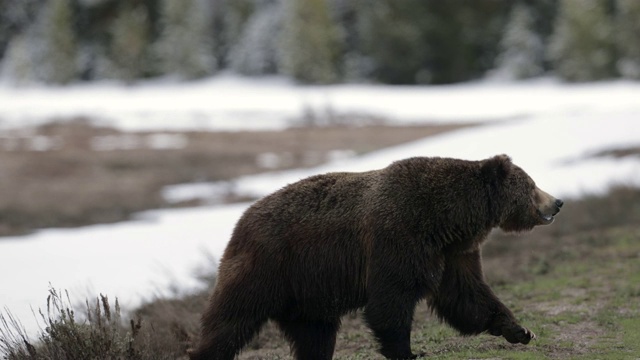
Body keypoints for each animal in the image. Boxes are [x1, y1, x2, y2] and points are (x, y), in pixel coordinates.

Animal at [188, 155, 564, 360]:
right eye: (532, 185)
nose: (558, 202)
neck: (450, 219)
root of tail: (241, 220)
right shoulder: (399, 236)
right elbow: (391, 301)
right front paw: (408, 350)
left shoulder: (454, 252)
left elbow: (467, 295)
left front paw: (520, 329)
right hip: (269, 265)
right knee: (232, 318)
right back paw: (206, 351)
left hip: (309, 293)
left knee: (315, 334)